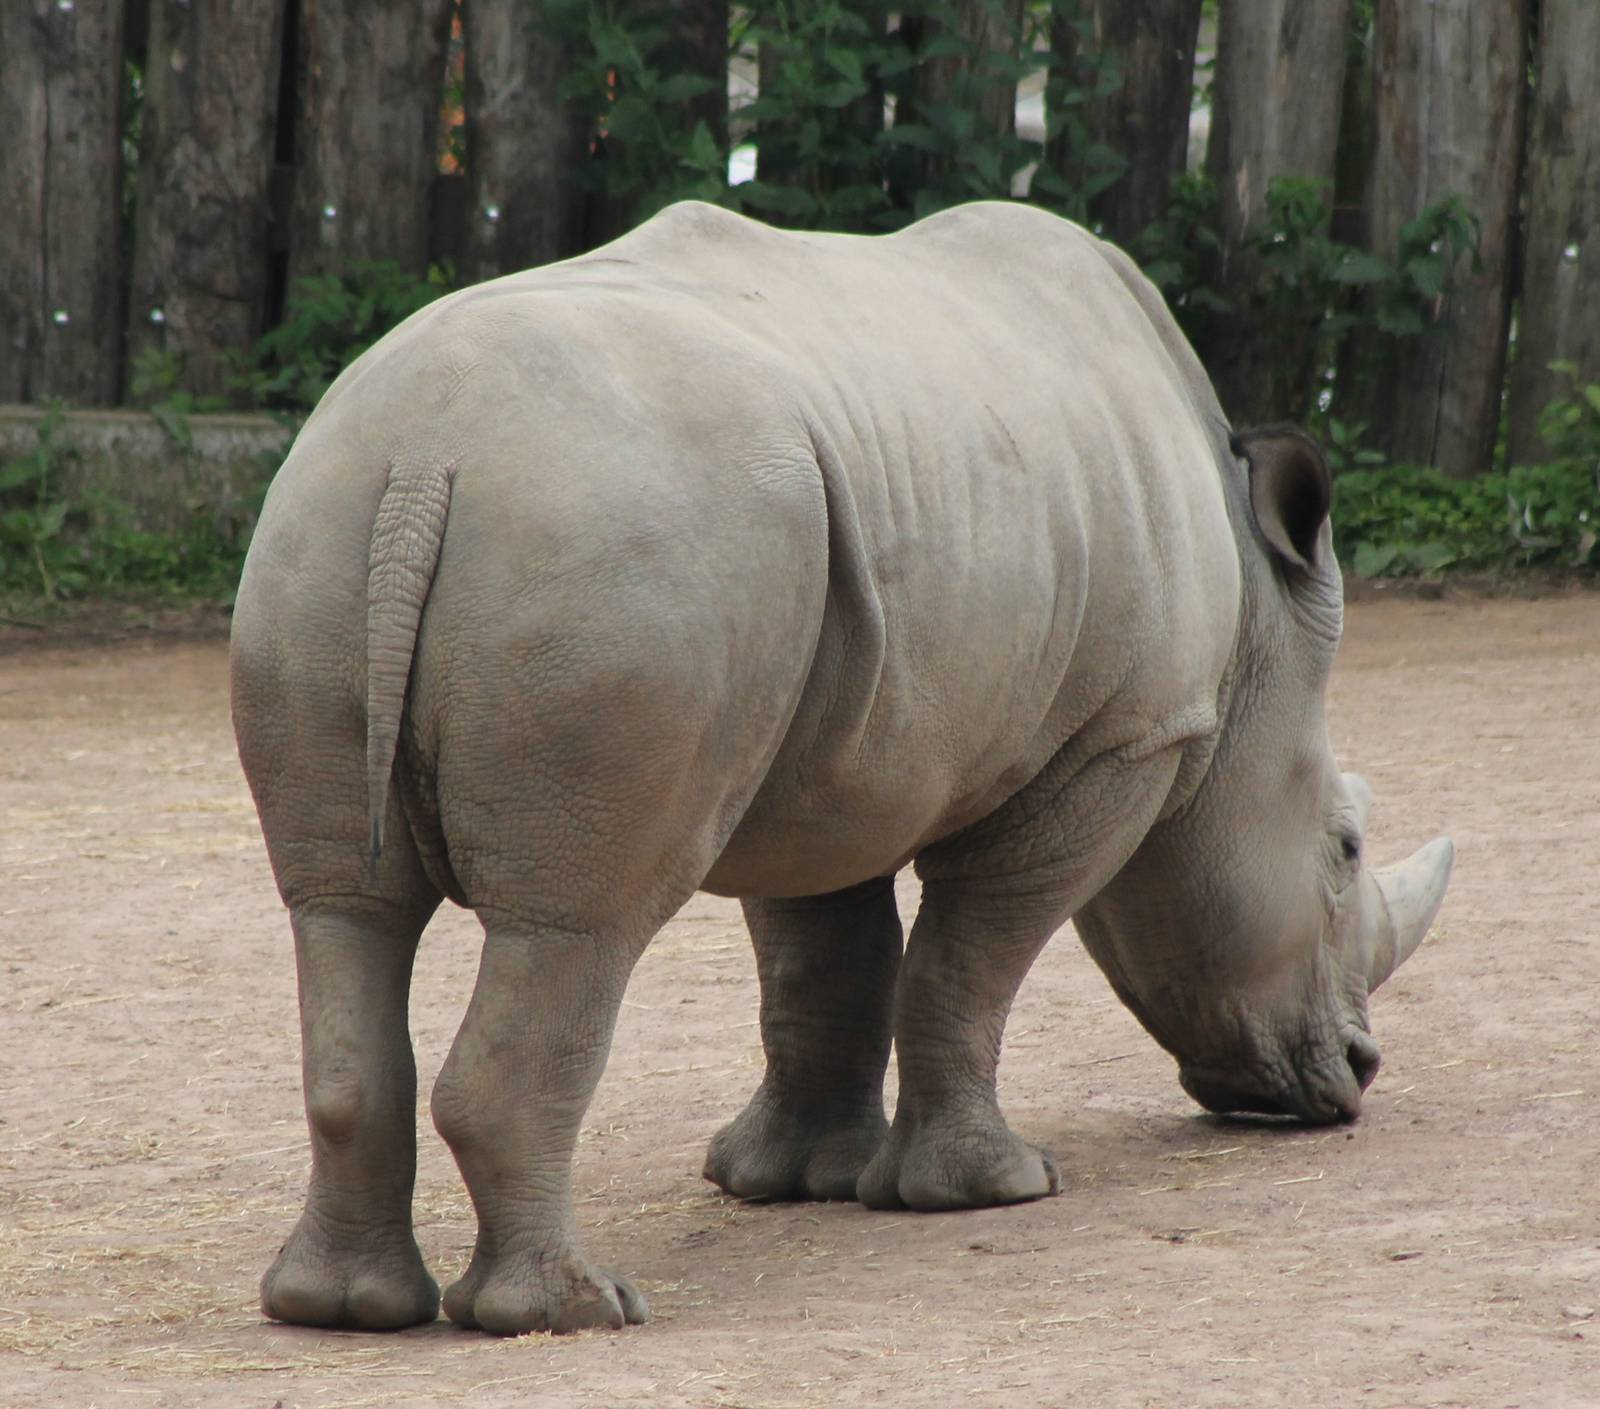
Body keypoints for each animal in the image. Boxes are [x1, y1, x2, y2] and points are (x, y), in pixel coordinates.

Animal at [231, 200, 1452, 1338]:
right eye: (1345, 848)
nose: (1358, 1071)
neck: (1251, 642)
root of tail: (427, 458)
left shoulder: (822, 759)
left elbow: (826, 955)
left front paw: (786, 1181)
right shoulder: (1127, 737)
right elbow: (972, 955)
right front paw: (992, 1190)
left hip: (325, 539)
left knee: (342, 908)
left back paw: (341, 1308)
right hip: (617, 555)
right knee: (577, 927)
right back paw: (577, 1310)